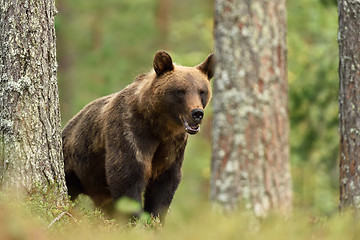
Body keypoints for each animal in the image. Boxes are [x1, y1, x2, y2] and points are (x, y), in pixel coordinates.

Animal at [62, 50, 214, 221]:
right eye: (180, 91)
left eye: (202, 91)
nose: (197, 113)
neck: (159, 126)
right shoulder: (130, 132)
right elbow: (127, 175)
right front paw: (134, 219)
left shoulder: (173, 145)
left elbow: (164, 184)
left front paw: (155, 219)